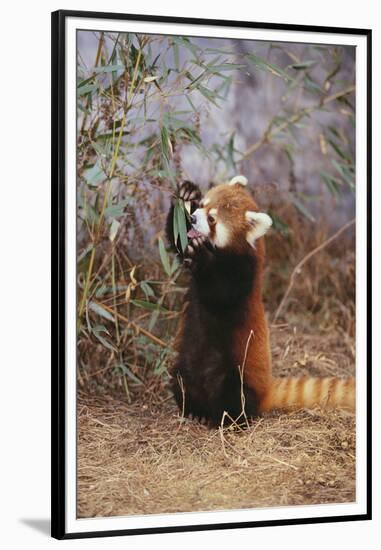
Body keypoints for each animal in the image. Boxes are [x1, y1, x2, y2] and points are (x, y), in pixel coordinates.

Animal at [165, 177, 354, 426]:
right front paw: (186, 194)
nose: (195, 217)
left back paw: (229, 420)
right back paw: (196, 411)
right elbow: (177, 237)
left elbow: (222, 292)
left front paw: (201, 255)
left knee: (235, 395)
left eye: (212, 219)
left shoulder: (244, 273)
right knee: (181, 380)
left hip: (237, 373)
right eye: (202, 205)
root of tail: (266, 392)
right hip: (185, 363)